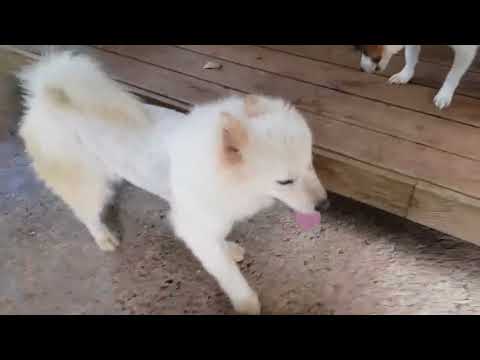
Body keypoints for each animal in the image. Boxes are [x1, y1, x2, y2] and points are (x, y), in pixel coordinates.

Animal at [16, 50, 328, 312]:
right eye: (285, 181)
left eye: (310, 164)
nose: (324, 205)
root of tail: (43, 98)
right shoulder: (194, 225)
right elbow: (228, 273)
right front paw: (246, 302)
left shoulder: (209, 218)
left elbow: (220, 242)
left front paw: (229, 249)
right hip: (89, 185)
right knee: (87, 214)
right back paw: (104, 237)